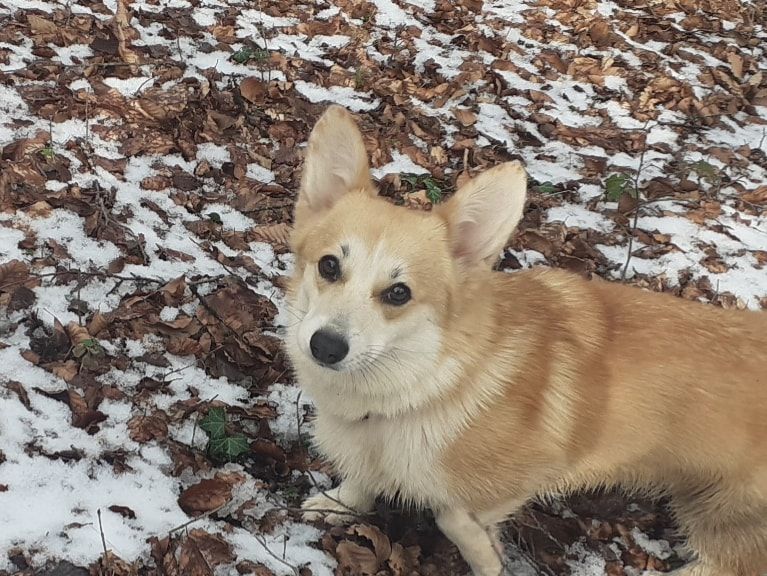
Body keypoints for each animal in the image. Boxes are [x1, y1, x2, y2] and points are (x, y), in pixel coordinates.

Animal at [284, 104, 767, 576]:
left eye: (398, 293)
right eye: (329, 266)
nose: (325, 347)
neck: (430, 382)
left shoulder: (532, 475)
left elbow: (454, 517)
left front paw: (486, 557)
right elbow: (363, 480)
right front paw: (341, 503)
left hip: (725, 518)